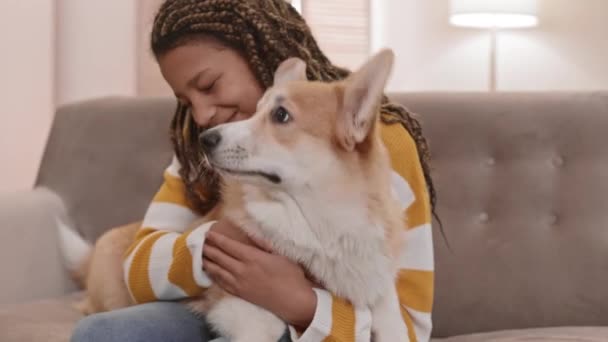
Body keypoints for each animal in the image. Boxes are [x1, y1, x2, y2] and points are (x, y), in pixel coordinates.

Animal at [59, 48, 408, 342]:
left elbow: (393, 321)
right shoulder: (246, 312)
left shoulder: (381, 293)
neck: (321, 220)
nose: (205, 139)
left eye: (281, 115)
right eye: (255, 111)